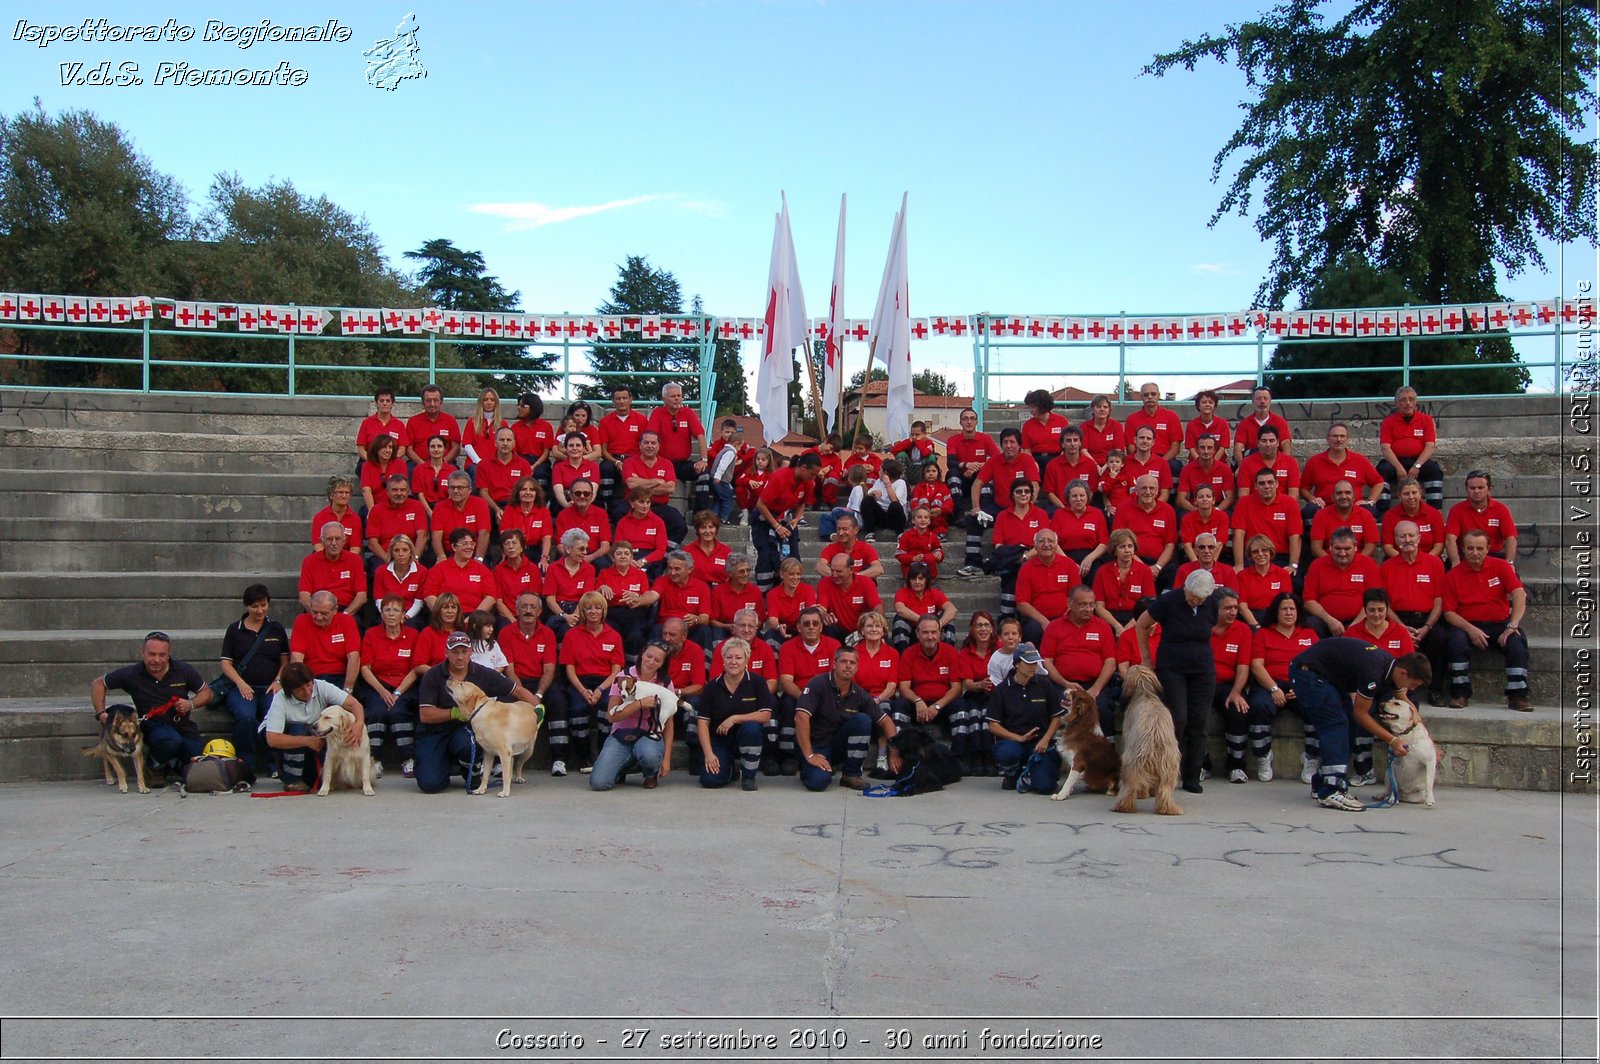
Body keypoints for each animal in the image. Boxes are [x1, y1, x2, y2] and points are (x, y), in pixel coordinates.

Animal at [1107, 668, 1184, 816]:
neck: (1145, 693)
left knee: (1131, 786)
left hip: (1132, 762)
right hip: (1168, 765)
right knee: (1165, 788)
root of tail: (1155, 737)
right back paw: (1168, 809)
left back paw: (1123, 806)